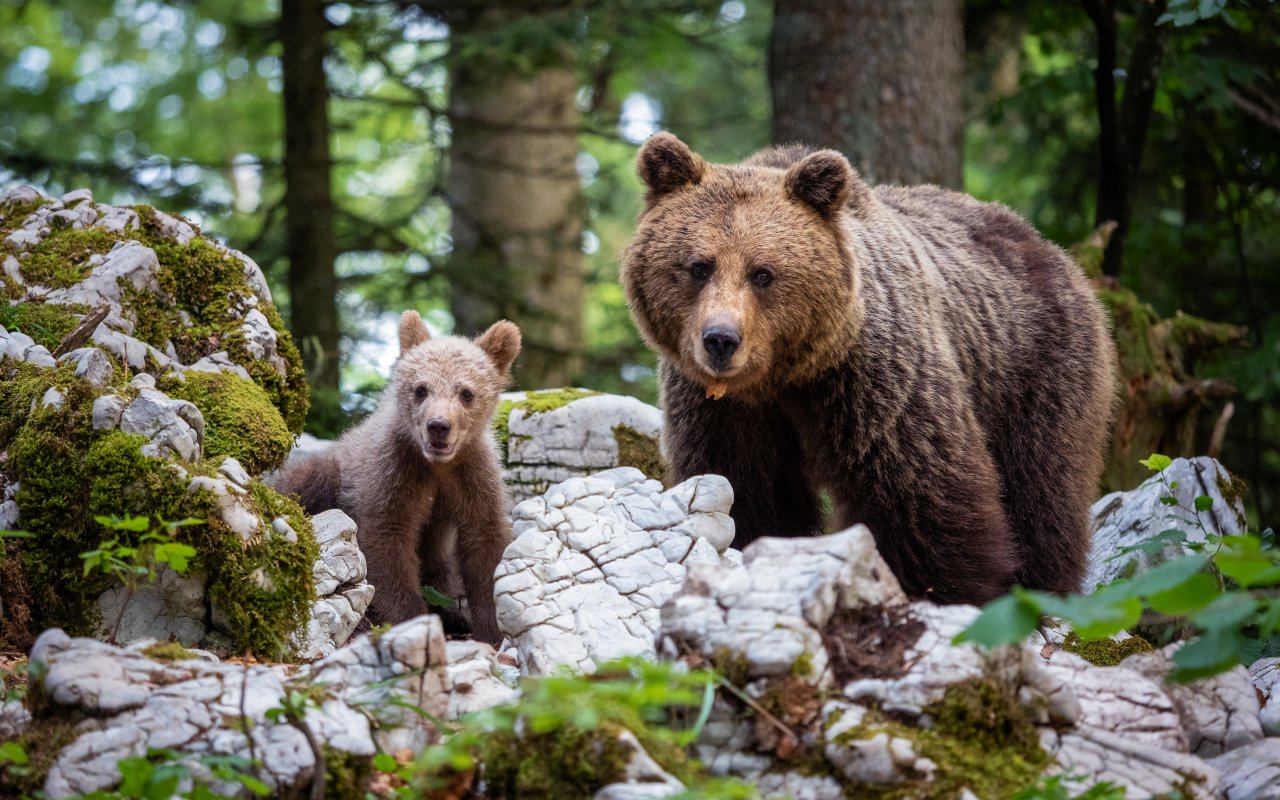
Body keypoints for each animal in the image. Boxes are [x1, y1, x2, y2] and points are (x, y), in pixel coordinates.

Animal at [271, 311, 520, 644]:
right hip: (328, 474)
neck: (436, 466)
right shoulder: (394, 473)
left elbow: (484, 543)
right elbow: (388, 541)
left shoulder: (472, 476)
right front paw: (412, 619)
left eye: (466, 392)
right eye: (421, 388)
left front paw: (492, 628)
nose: (438, 425)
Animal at [621, 133, 1117, 605]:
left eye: (762, 273)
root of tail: (1044, 243)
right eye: (699, 266)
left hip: (1034, 364)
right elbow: (745, 485)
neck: (785, 375)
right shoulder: (723, 408)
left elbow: (920, 493)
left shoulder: (874, 380)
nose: (721, 340)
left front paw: (942, 591)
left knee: (1042, 484)